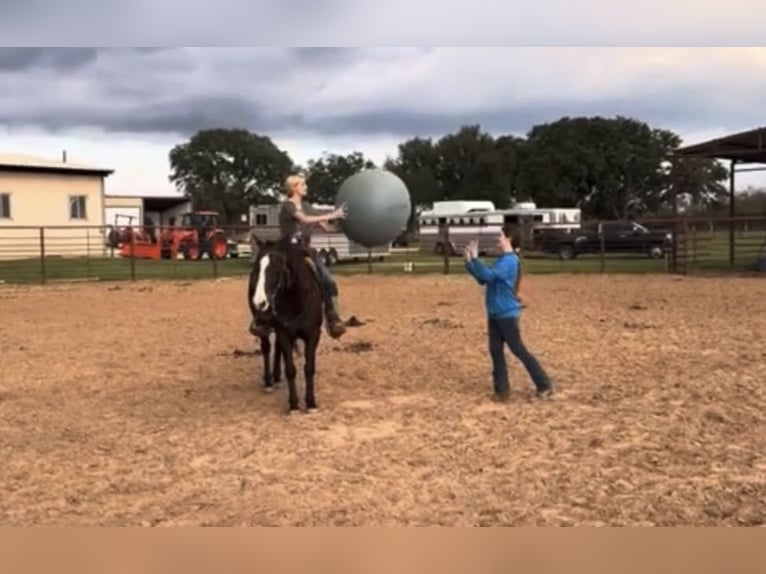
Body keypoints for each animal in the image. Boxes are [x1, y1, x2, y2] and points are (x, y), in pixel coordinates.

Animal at [250, 237, 326, 414]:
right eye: (256, 267)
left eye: (278, 268)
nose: (259, 302)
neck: (296, 301)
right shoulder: (284, 333)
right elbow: (290, 369)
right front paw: (293, 405)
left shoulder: (313, 335)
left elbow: (309, 368)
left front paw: (311, 403)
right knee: (266, 348)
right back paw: (269, 382)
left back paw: (277, 377)